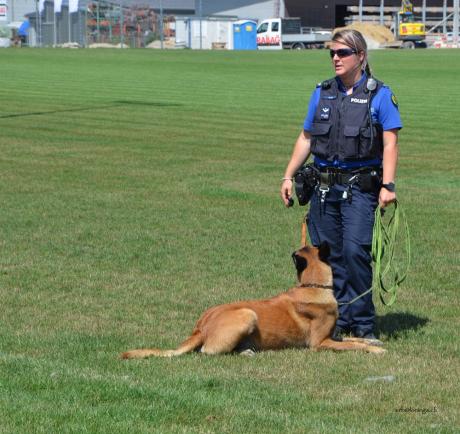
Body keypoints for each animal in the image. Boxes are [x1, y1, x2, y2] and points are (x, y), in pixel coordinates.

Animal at [120, 229, 382, 358]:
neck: (313, 287)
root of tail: (200, 327)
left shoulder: (332, 336)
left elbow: (353, 339)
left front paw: (373, 341)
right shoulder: (320, 343)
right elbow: (353, 346)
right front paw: (375, 350)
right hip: (247, 314)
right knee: (207, 352)